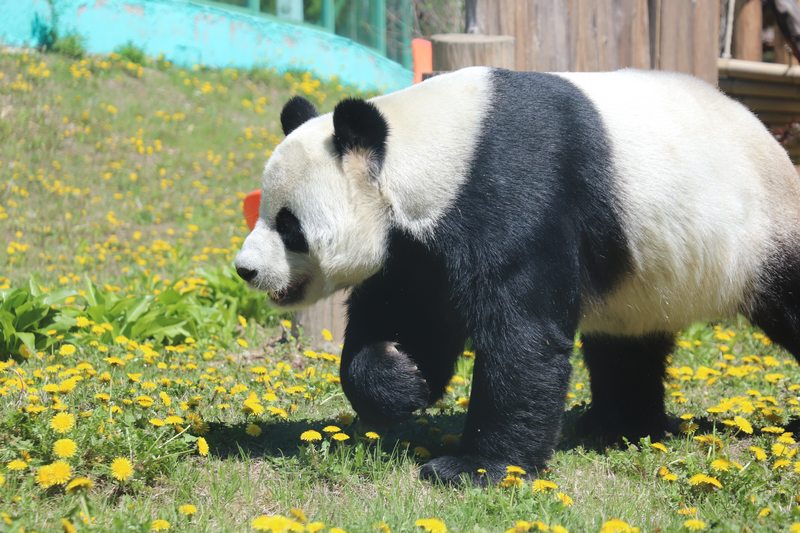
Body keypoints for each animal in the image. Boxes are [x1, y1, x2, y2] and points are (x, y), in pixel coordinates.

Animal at [231, 66, 800, 482]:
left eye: (290, 226)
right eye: (263, 211)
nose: (246, 269)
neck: (431, 145)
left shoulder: (514, 191)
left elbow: (523, 335)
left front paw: (473, 468)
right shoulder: (421, 244)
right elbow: (409, 314)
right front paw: (402, 374)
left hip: (758, 230)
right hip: (640, 275)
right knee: (626, 344)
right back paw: (616, 427)